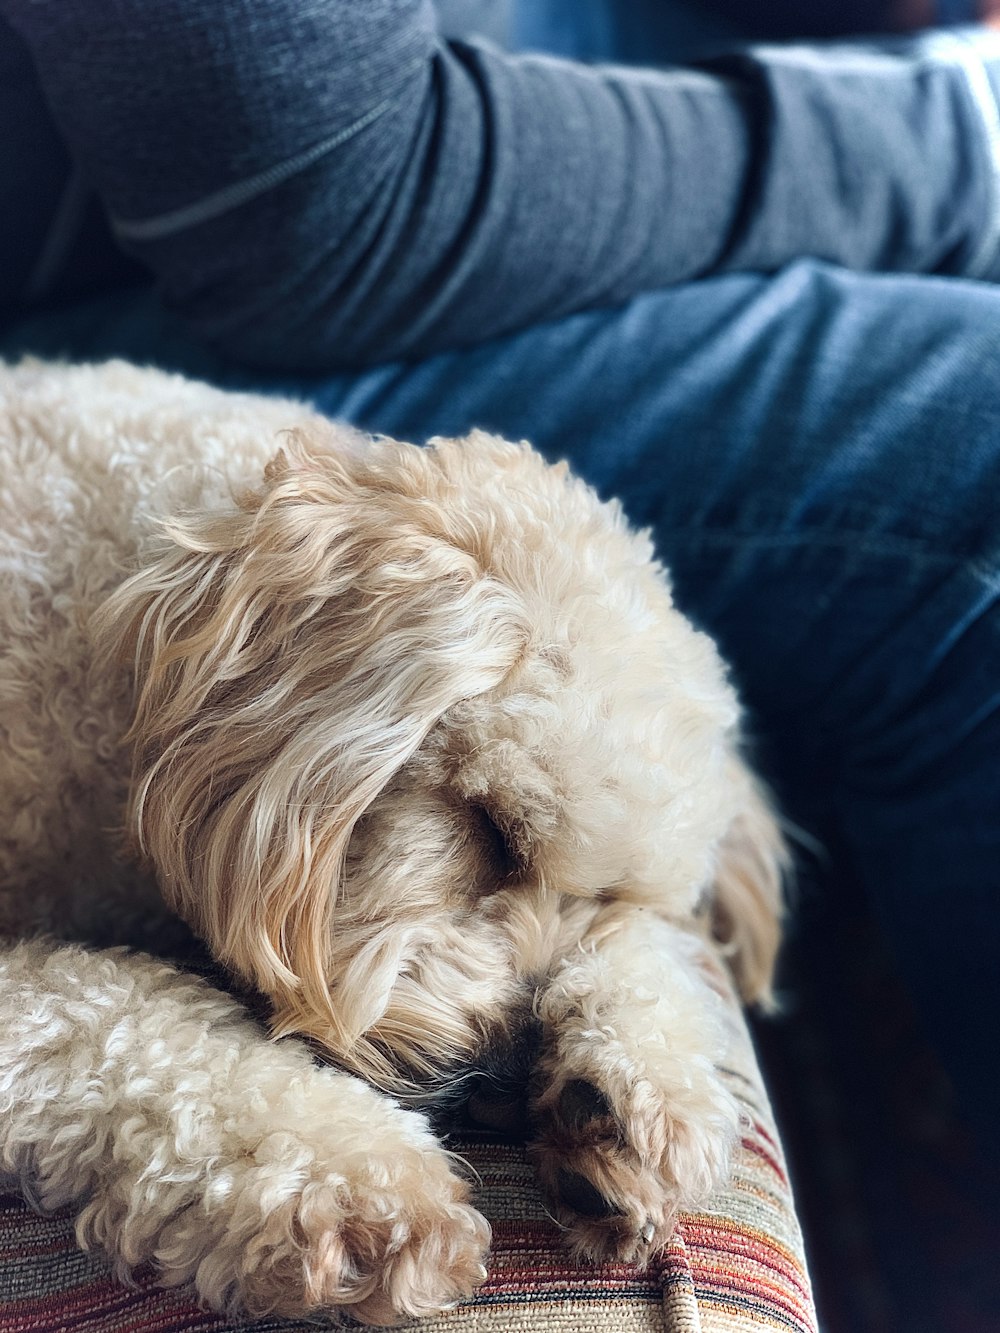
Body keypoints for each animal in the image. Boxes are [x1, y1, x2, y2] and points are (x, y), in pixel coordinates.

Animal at [0, 359, 784, 1327]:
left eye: (609, 896)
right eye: (494, 829)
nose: (504, 1087)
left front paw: (633, 1092)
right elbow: (99, 1012)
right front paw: (357, 1178)